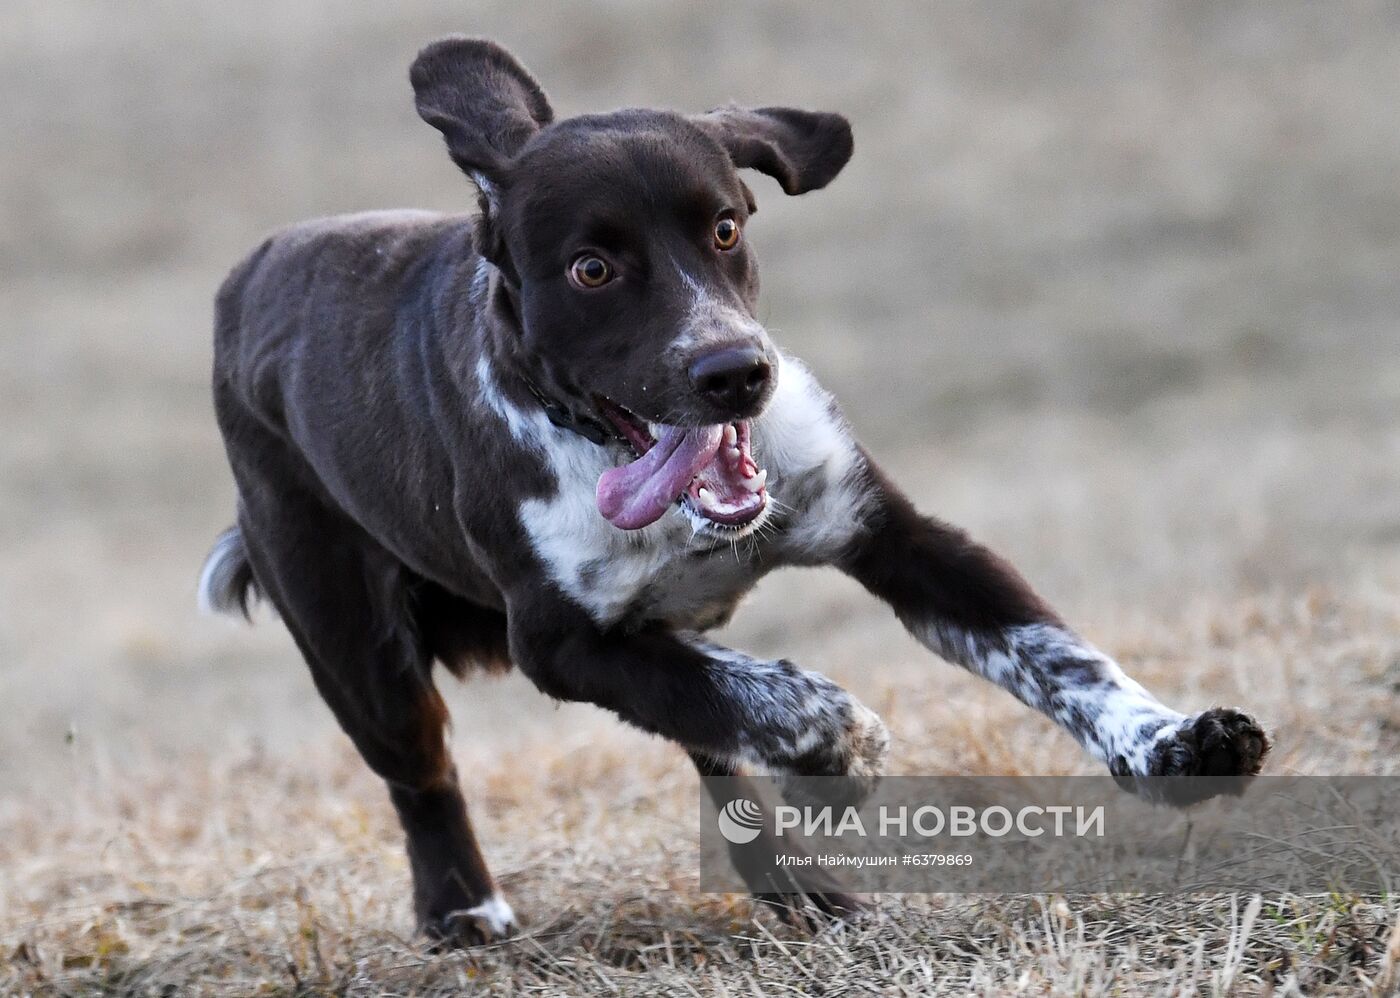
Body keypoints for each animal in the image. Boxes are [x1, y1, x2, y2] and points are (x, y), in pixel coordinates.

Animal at [203, 36, 1276, 940]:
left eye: (725, 227)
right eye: (591, 269)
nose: (734, 373)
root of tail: (246, 279)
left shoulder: (897, 536)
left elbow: (1057, 655)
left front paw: (1175, 743)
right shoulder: (564, 643)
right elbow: (766, 697)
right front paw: (843, 747)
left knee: (714, 750)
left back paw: (798, 892)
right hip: (354, 642)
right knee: (425, 773)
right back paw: (462, 911)